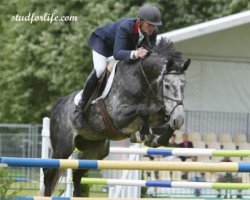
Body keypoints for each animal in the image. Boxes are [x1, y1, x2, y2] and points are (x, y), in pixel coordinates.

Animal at [42, 38, 189, 196]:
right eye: (167, 85)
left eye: (183, 85)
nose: (179, 120)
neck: (142, 82)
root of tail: (60, 102)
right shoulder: (118, 115)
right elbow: (143, 110)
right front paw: (143, 134)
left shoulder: (159, 118)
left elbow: (165, 125)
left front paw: (156, 139)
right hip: (63, 147)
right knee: (49, 172)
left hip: (96, 149)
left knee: (77, 174)